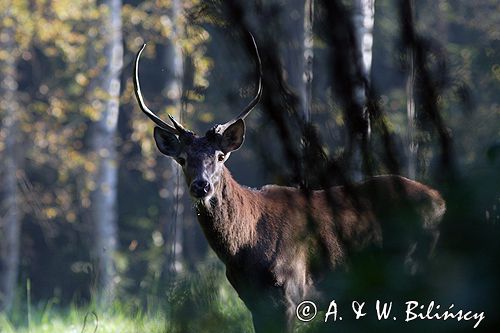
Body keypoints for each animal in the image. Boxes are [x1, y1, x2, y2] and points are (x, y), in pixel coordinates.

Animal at [132, 35, 446, 332]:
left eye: (220, 156)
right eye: (182, 159)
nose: (201, 186)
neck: (243, 248)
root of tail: (441, 201)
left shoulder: (289, 291)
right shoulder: (252, 300)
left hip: (412, 265)